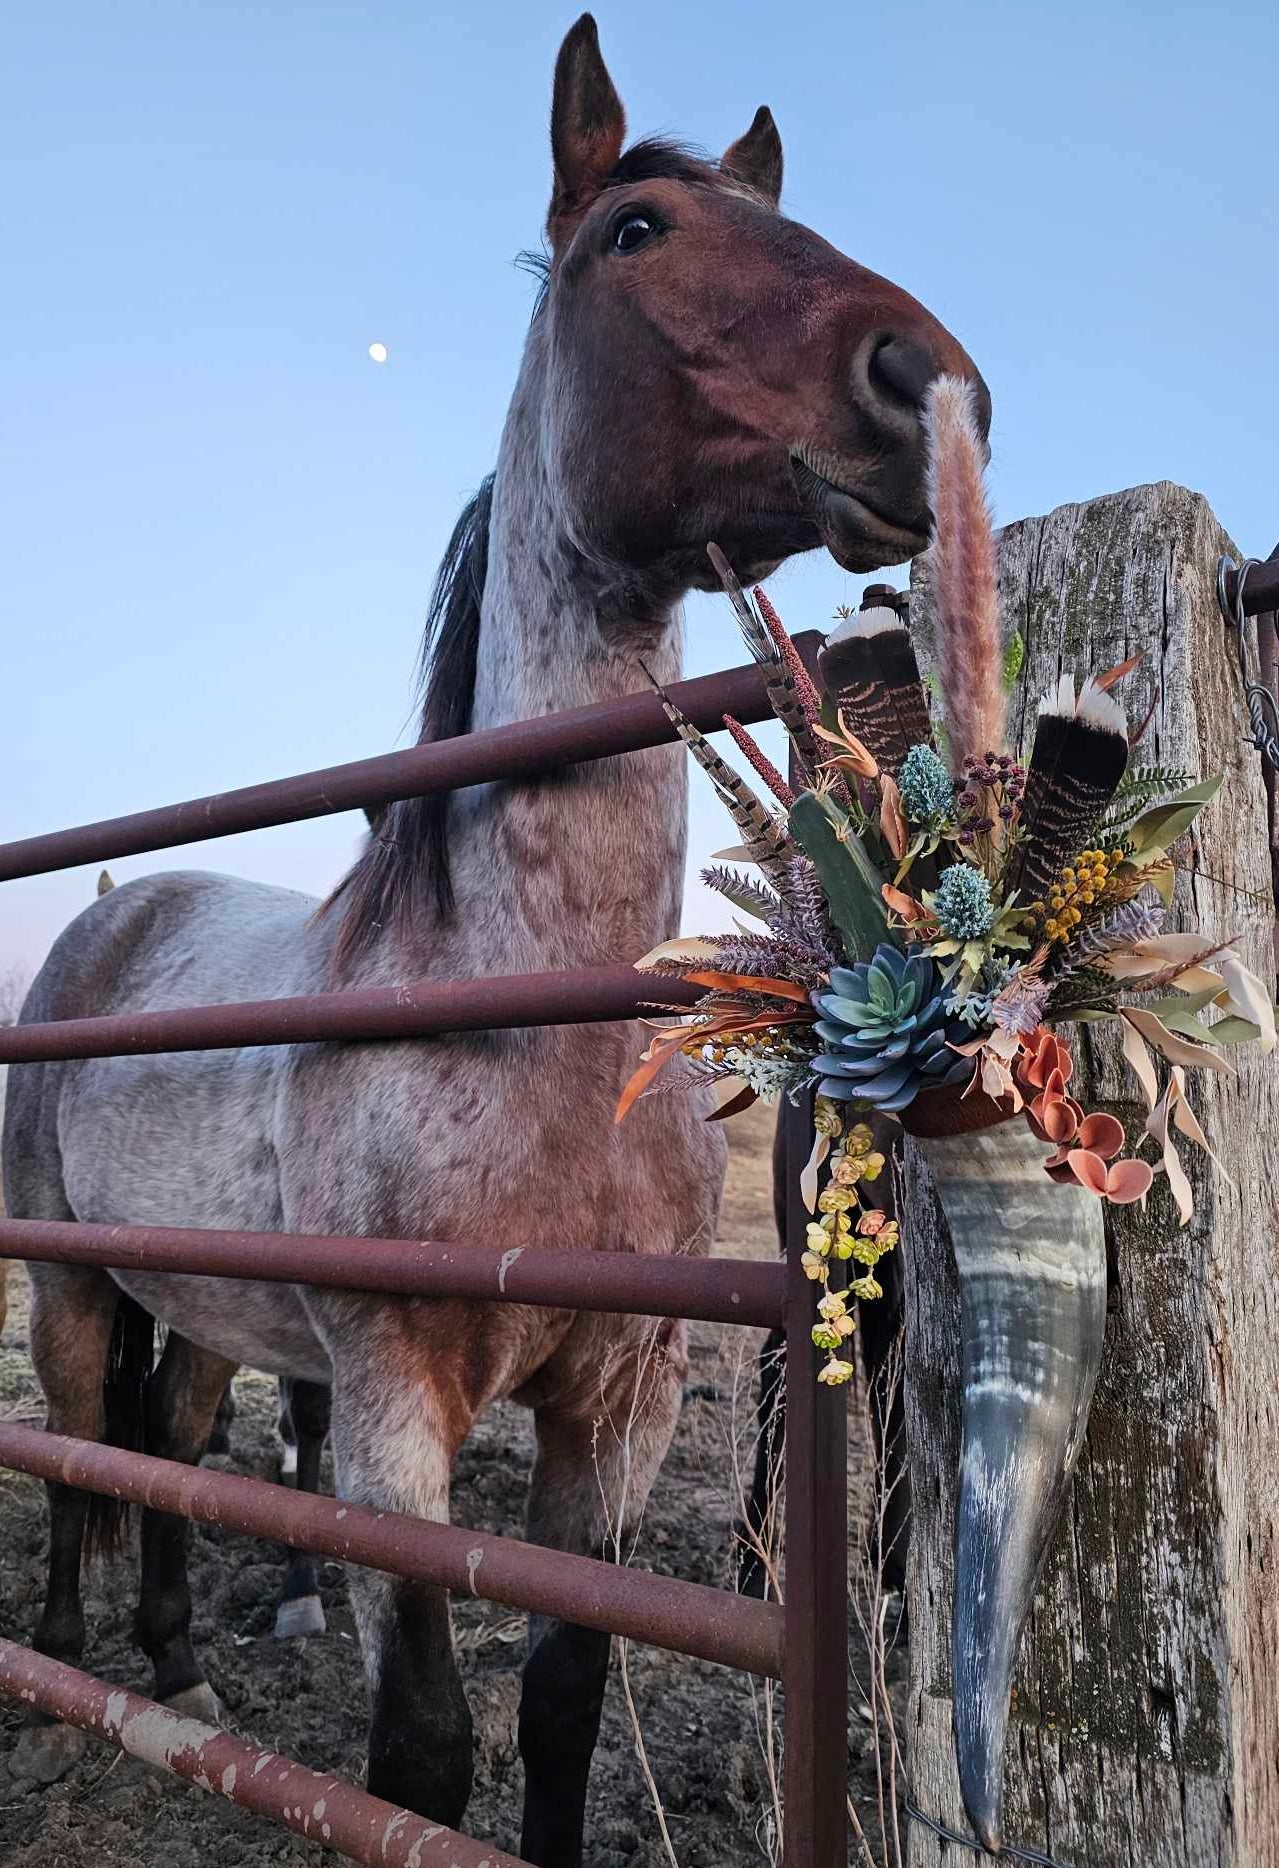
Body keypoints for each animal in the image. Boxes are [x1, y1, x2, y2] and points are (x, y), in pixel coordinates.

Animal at [2, 16, 988, 1862]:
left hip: (208, 1299)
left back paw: (176, 1670)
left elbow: (558, 1704)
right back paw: (69, 1657)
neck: (522, 1017)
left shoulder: (611, 1410)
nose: (928, 386)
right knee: (86, 1439)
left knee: (167, 1443)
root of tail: (111, 926)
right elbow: (422, 1750)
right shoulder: (394, 1425)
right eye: (635, 234)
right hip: (73, 1279)